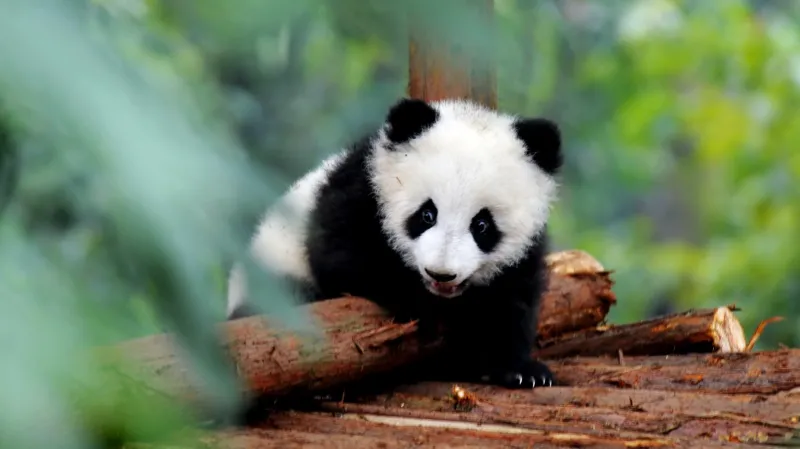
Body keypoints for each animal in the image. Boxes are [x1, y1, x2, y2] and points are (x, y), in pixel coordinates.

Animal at [227, 97, 563, 389]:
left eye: (482, 225)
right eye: (427, 214)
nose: (441, 274)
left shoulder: (523, 254)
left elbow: (511, 304)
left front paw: (521, 371)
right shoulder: (360, 192)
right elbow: (344, 259)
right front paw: (421, 306)